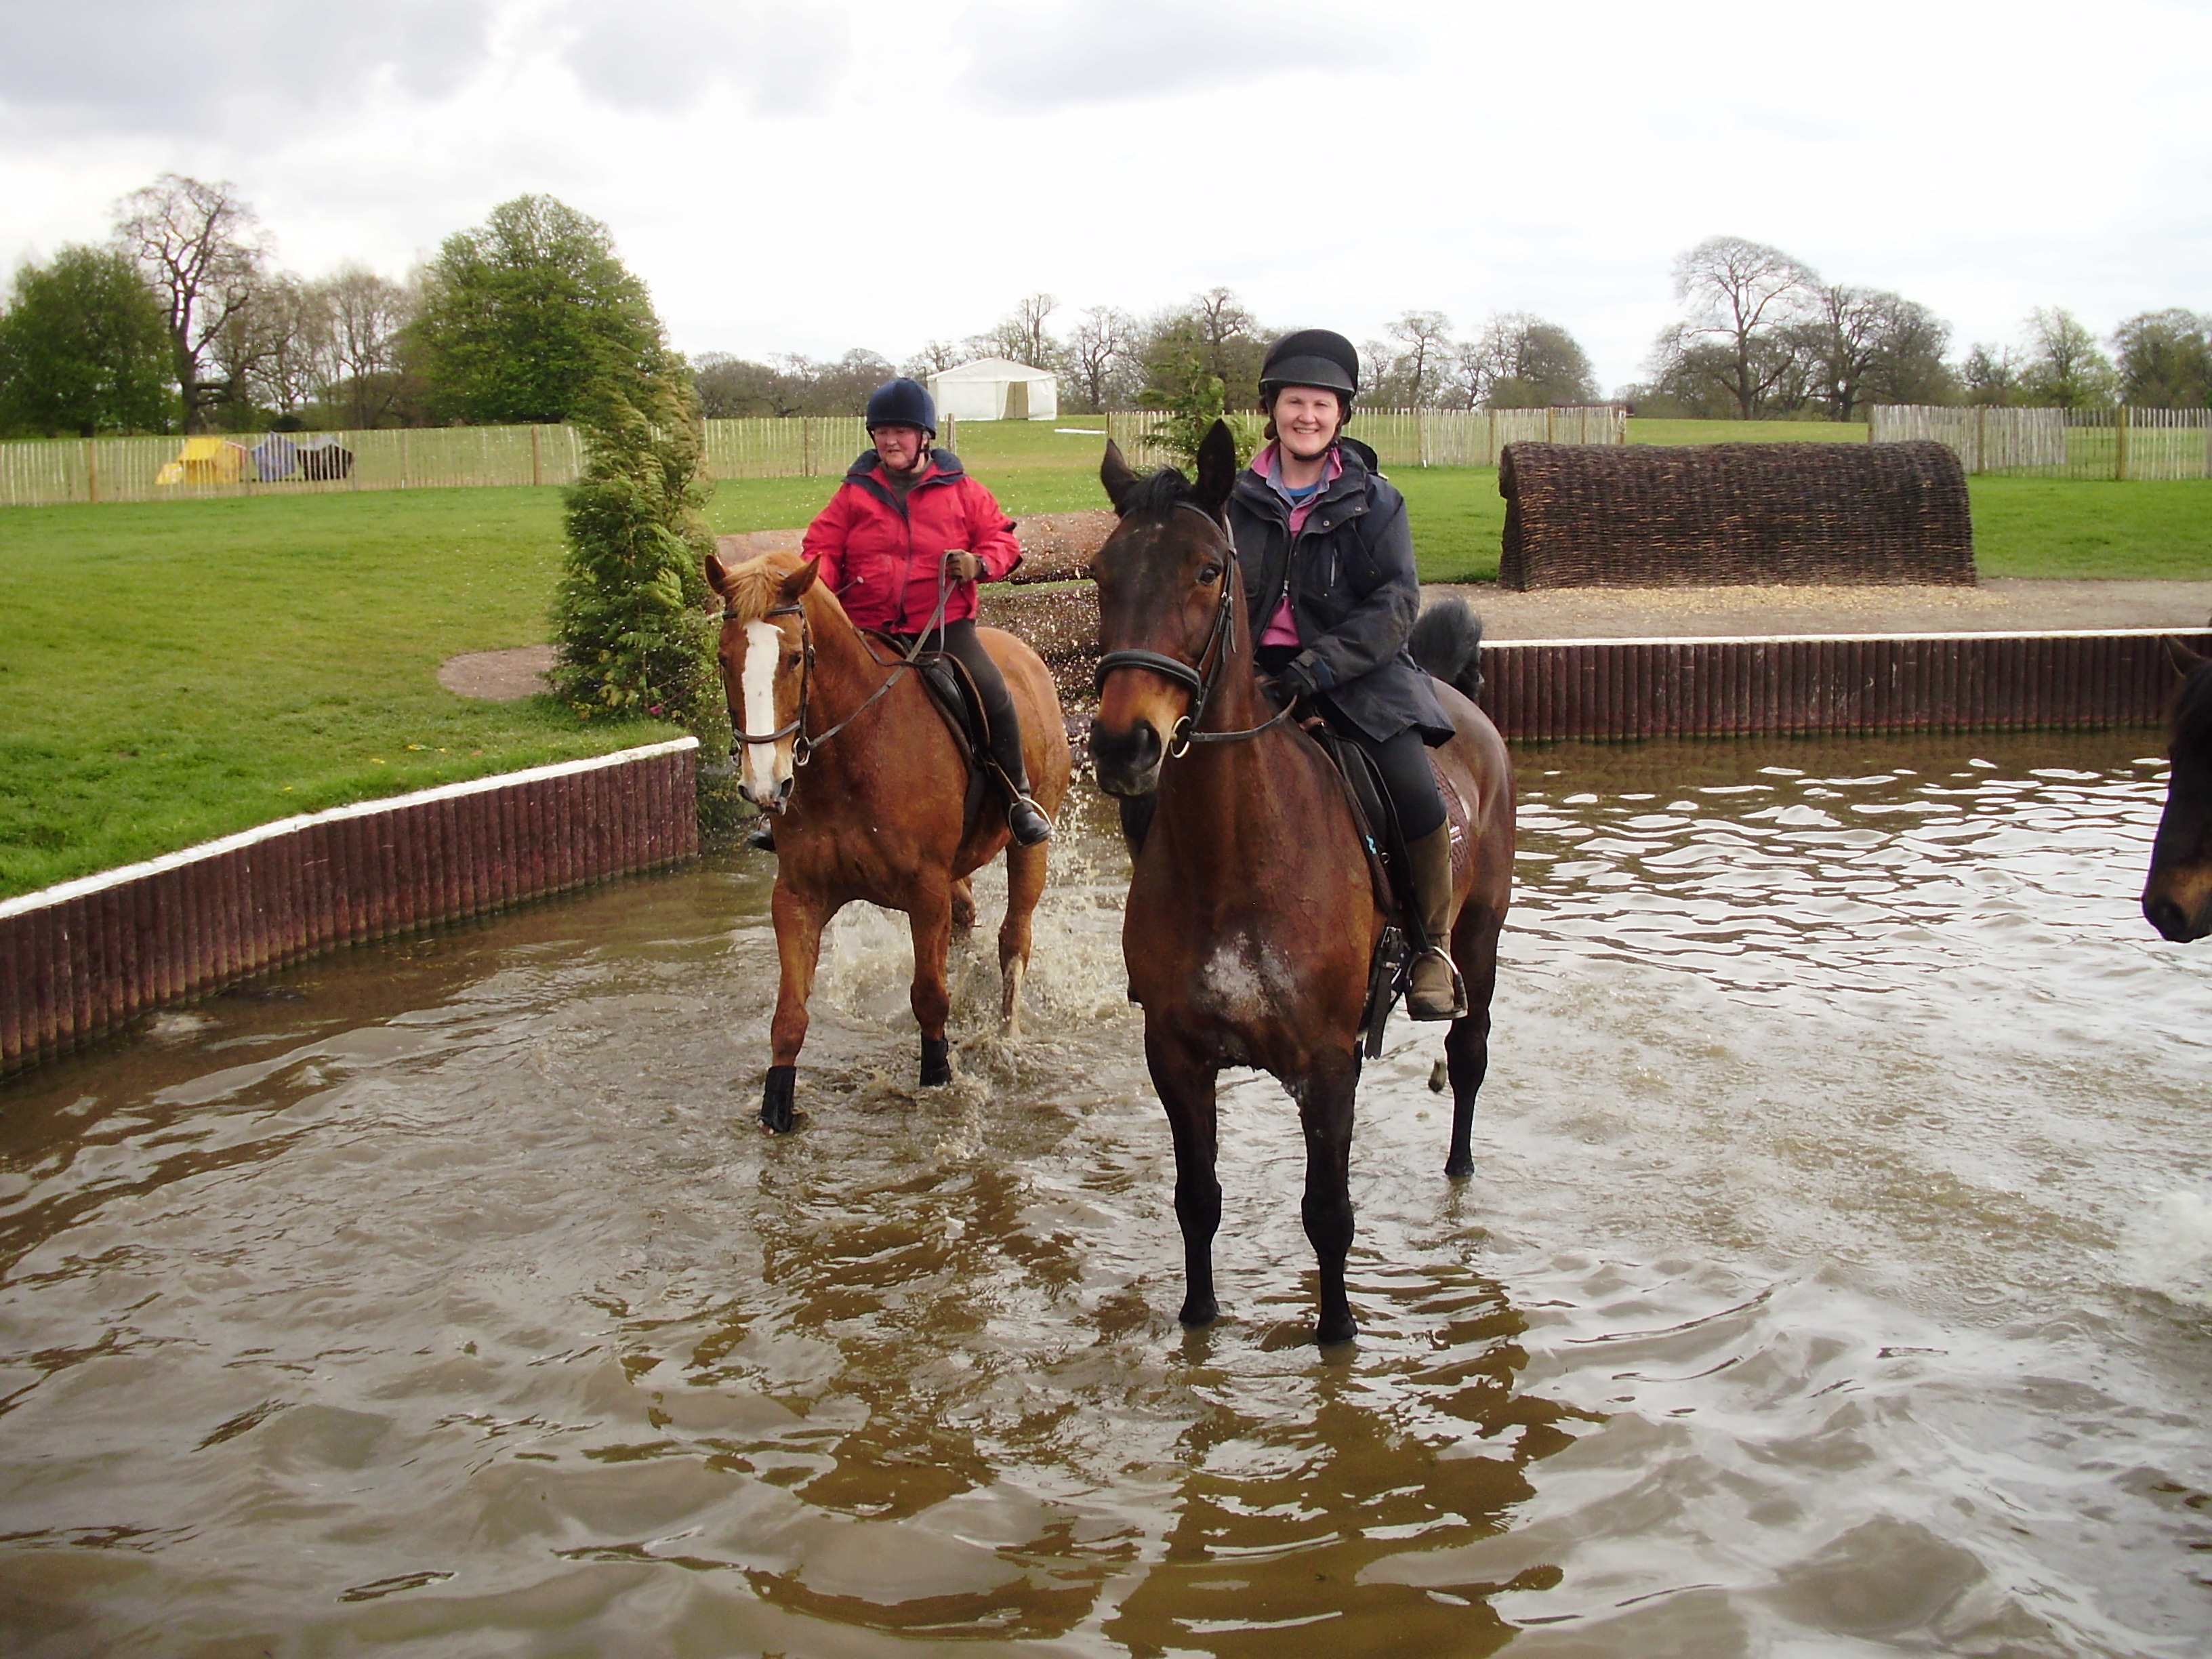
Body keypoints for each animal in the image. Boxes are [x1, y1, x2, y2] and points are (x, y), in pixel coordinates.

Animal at [705, 550, 1072, 1132]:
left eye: (794, 658)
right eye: (724, 659)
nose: (765, 786)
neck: (851, 751)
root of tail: (1023, 653)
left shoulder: (924, 892)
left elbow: (930, 997)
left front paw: (938, 1076)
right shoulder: (798, 897)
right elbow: (789, 1017)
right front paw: (776, 1108)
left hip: (1029, 845)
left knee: (1014, 938)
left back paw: (1007, 1033)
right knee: (967, 919)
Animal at [1087, 421, 1515, 1346]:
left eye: (1206, 571)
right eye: (1101, 573)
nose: (1124, 746)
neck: (1234, 857)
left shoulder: (1326, 1063)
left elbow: (1328, 1214)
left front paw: (1338, 1336)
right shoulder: (1175, 1057)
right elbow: (1197, 1200)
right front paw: (1199, 1319)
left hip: (1480, 936)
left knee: (1468, 1059)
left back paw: (1461, 1170)